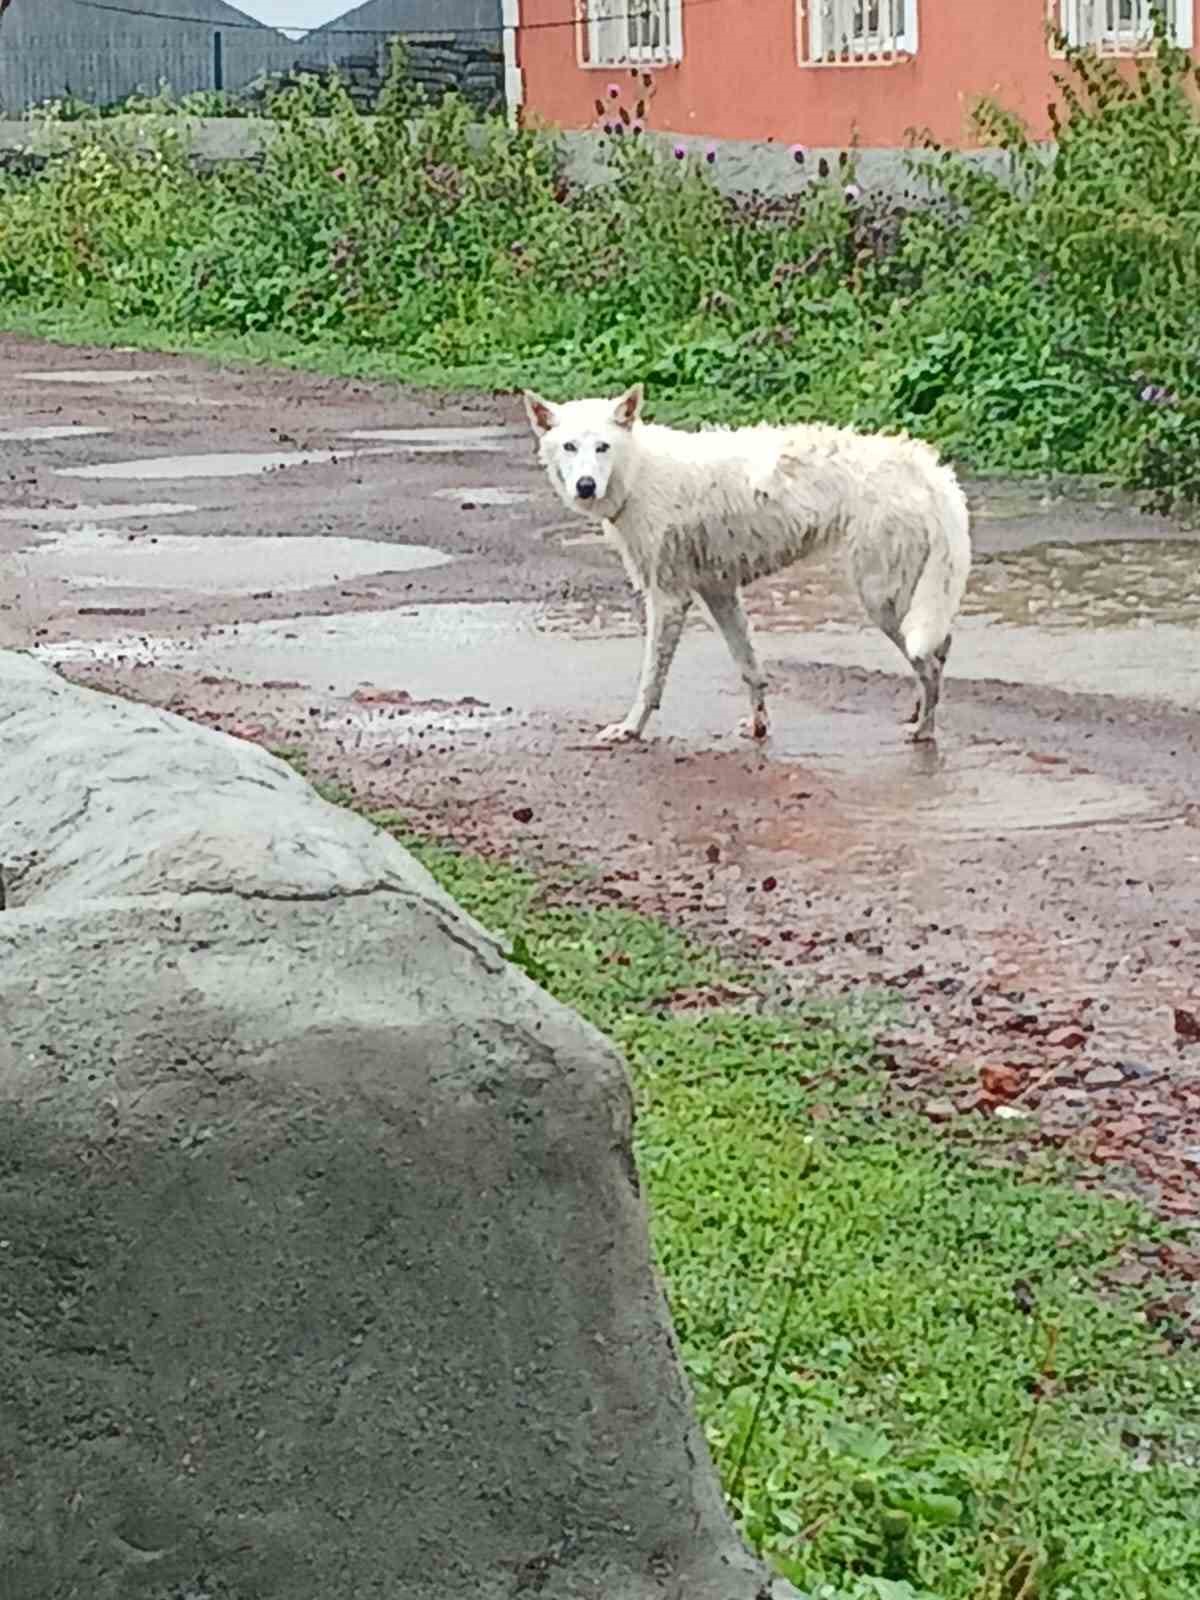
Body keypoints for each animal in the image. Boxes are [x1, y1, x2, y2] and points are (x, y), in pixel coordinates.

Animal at [521, 380, 972, 742]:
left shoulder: (668, 599)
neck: (637, 474)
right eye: (570, 447)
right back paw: (918, 713)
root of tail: (925, 466)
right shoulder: (719, 592)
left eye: (603, 447)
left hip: (882, 599)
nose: (585, 486)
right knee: (942, 647)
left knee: (930, 663)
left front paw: (630, 729)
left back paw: (924, 731)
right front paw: (758, 727)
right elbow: (750, 668)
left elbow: (650, 681)